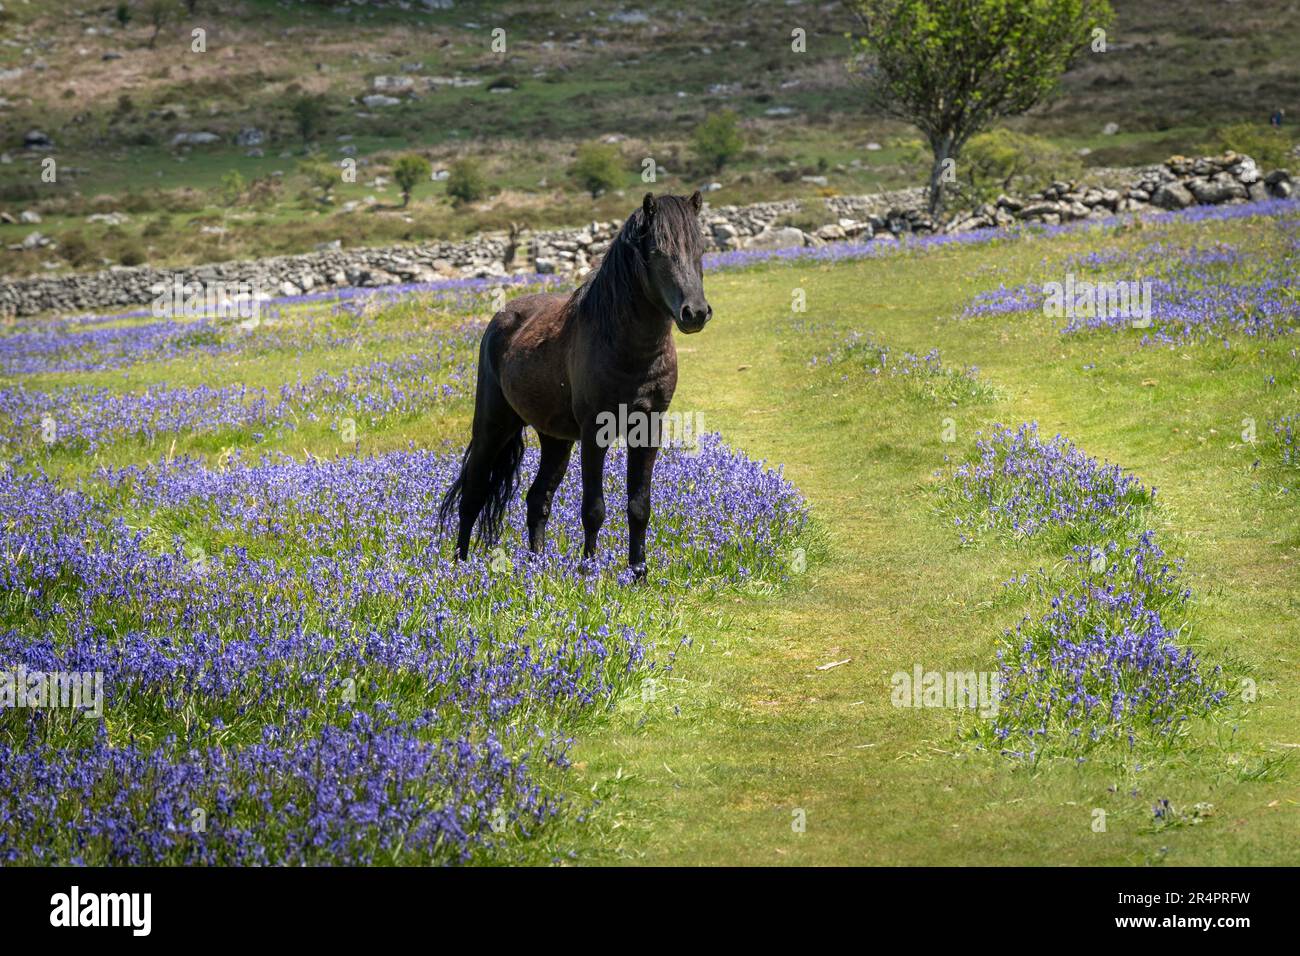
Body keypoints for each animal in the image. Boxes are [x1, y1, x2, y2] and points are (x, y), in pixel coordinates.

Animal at [439, 191, 712, 580]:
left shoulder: (648, 428)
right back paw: (459, 566)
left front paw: (639, 573)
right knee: (474, 494)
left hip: (555, 439)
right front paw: (589, 571)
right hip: (493, 427)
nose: (695, 313)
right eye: (659, 250)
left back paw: (536, 564)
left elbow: (639, 505)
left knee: (538, 498)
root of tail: (502, 318)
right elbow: (593, 508)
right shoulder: (594, 431)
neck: (628, 349)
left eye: (700, 248)